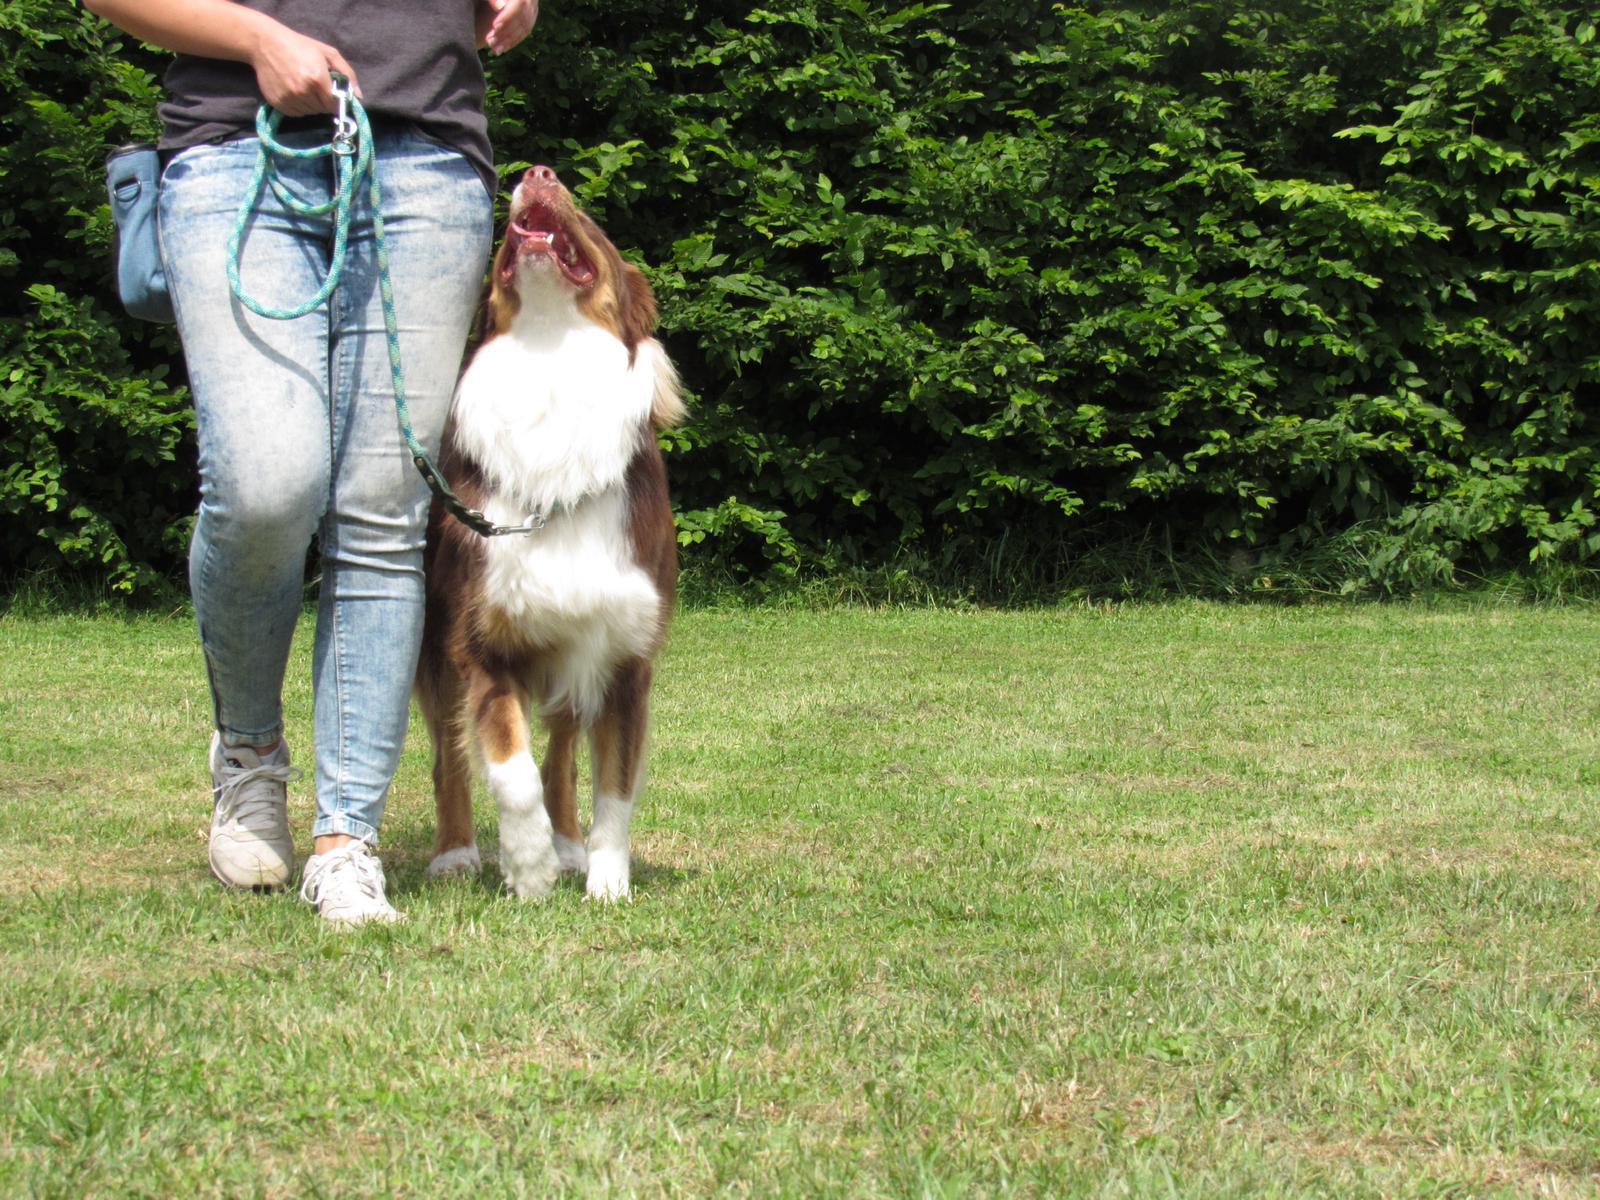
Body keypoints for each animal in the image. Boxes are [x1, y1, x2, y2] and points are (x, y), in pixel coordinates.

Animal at [416, 164, 685, 901]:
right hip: (432, 643)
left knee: (564, 750)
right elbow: (510, 769)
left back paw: (569, 845)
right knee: (450, 754)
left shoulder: (625, 657)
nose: (537, 172)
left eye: (589, 217)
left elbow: (614, 789)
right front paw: (528, 867)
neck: (550, 356)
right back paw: (457, 853)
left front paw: (606, 883)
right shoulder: (481, 643)